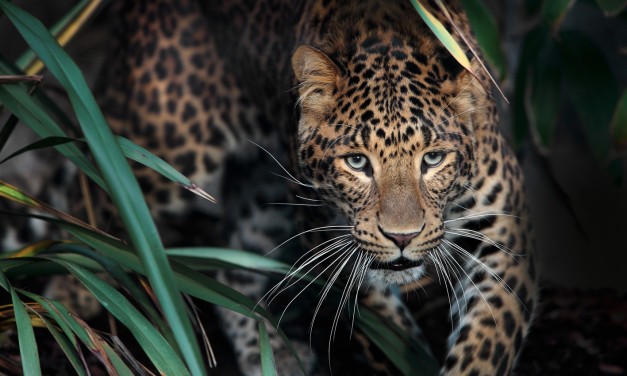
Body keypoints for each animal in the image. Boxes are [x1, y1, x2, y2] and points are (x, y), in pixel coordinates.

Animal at [1, 0, 540, 374]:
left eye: (432, 159)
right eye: (357, 162)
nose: (402, 237)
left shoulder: (504, 240)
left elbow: (485, 347)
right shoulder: (333, 242)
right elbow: (385, 337)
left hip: (264, 193)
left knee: (235, 269)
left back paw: (277, 356)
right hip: (157, 156)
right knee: (82, 234)